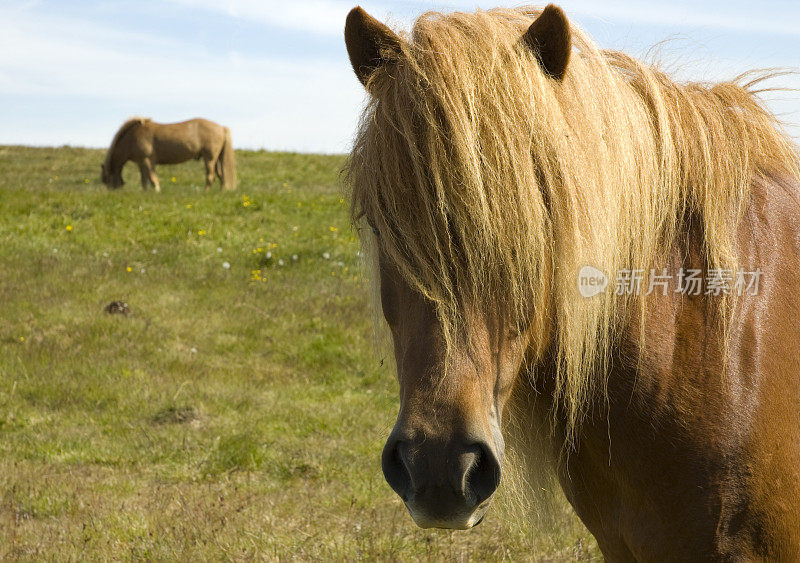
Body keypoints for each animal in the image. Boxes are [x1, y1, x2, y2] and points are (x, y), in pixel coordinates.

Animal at [101, 117, 236, 192]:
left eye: (106, 179)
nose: (111, 192)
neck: (133, 136)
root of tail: (221, 128)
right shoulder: (141, 163)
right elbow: (144, 180)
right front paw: (145, 192)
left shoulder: (147, 161)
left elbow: (152, 178)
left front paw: (157, 190)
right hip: (216, 159)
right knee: (221, 174)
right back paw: (222, 190)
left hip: (209, 158)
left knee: (211, 176)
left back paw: (205, 191)